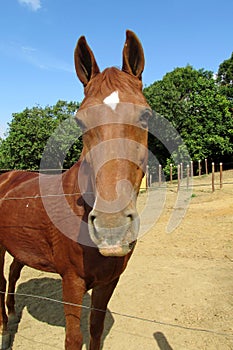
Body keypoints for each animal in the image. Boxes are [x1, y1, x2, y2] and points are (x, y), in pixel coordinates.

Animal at [0, 30, 151, 350]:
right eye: (80, 121)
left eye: (145, 116)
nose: (111, 227)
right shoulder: (72, 282)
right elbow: (74, 337)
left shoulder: (108, 282)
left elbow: (95, 329)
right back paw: (4, 330)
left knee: (12, 274)